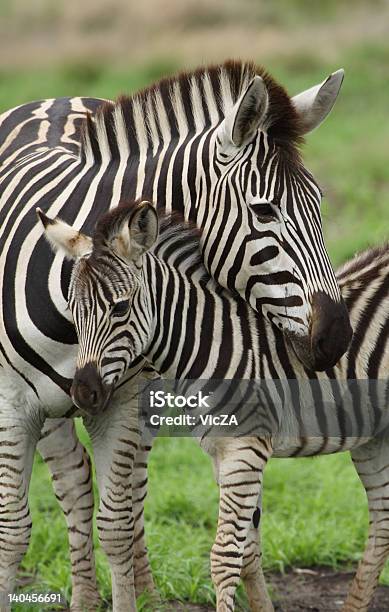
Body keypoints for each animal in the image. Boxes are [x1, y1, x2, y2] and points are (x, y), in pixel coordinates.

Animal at [0, 59, 348, 608]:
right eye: (265, 211)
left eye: (318, 203)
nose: (336, 338)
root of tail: (54, 99)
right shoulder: (13, 405)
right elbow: (13, 532)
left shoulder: (121, 401)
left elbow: (117, 523)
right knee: (73, 481)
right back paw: (84, 596)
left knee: (127, 491)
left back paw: (143, 594)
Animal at [40, 197, 388, 612]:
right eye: (72, 309)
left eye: (120, 309)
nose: (83, 393)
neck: (213, 344)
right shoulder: (220, 451)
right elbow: (248, 550)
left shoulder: (246, 447)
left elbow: (224, 556)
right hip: (375, 439)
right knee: (383, 523)